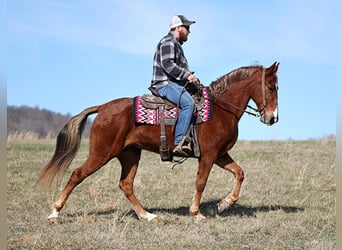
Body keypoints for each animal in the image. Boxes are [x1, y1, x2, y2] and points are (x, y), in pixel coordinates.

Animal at [36, 61, 280, 222]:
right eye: (270, 87)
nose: (272, 118)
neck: (221, 109)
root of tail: (103, 108)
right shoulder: (209, 155)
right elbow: (201, 182)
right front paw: (196, 213)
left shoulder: (220, 154)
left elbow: (239, 173)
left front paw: (223, 205)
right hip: (101, 154)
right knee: (77, 175)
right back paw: (55, 212)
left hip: (130, 155)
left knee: (126, 184)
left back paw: (147, 215)